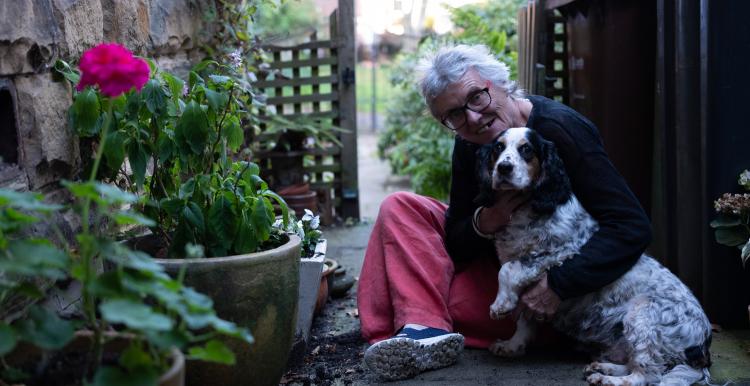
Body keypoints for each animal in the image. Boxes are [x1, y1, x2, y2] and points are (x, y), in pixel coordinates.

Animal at [478, 128, 712, 386]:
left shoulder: (560, 252)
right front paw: (512, 345)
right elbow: (523, 317)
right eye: (498, 148)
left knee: (647, 374)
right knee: (636, 364)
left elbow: (508, 270)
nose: (503, 168)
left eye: (527, 149)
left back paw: (608, 379)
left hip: (642, 316)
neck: (527, 209)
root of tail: (701, 347)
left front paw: (500, 305)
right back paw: (604, 367)